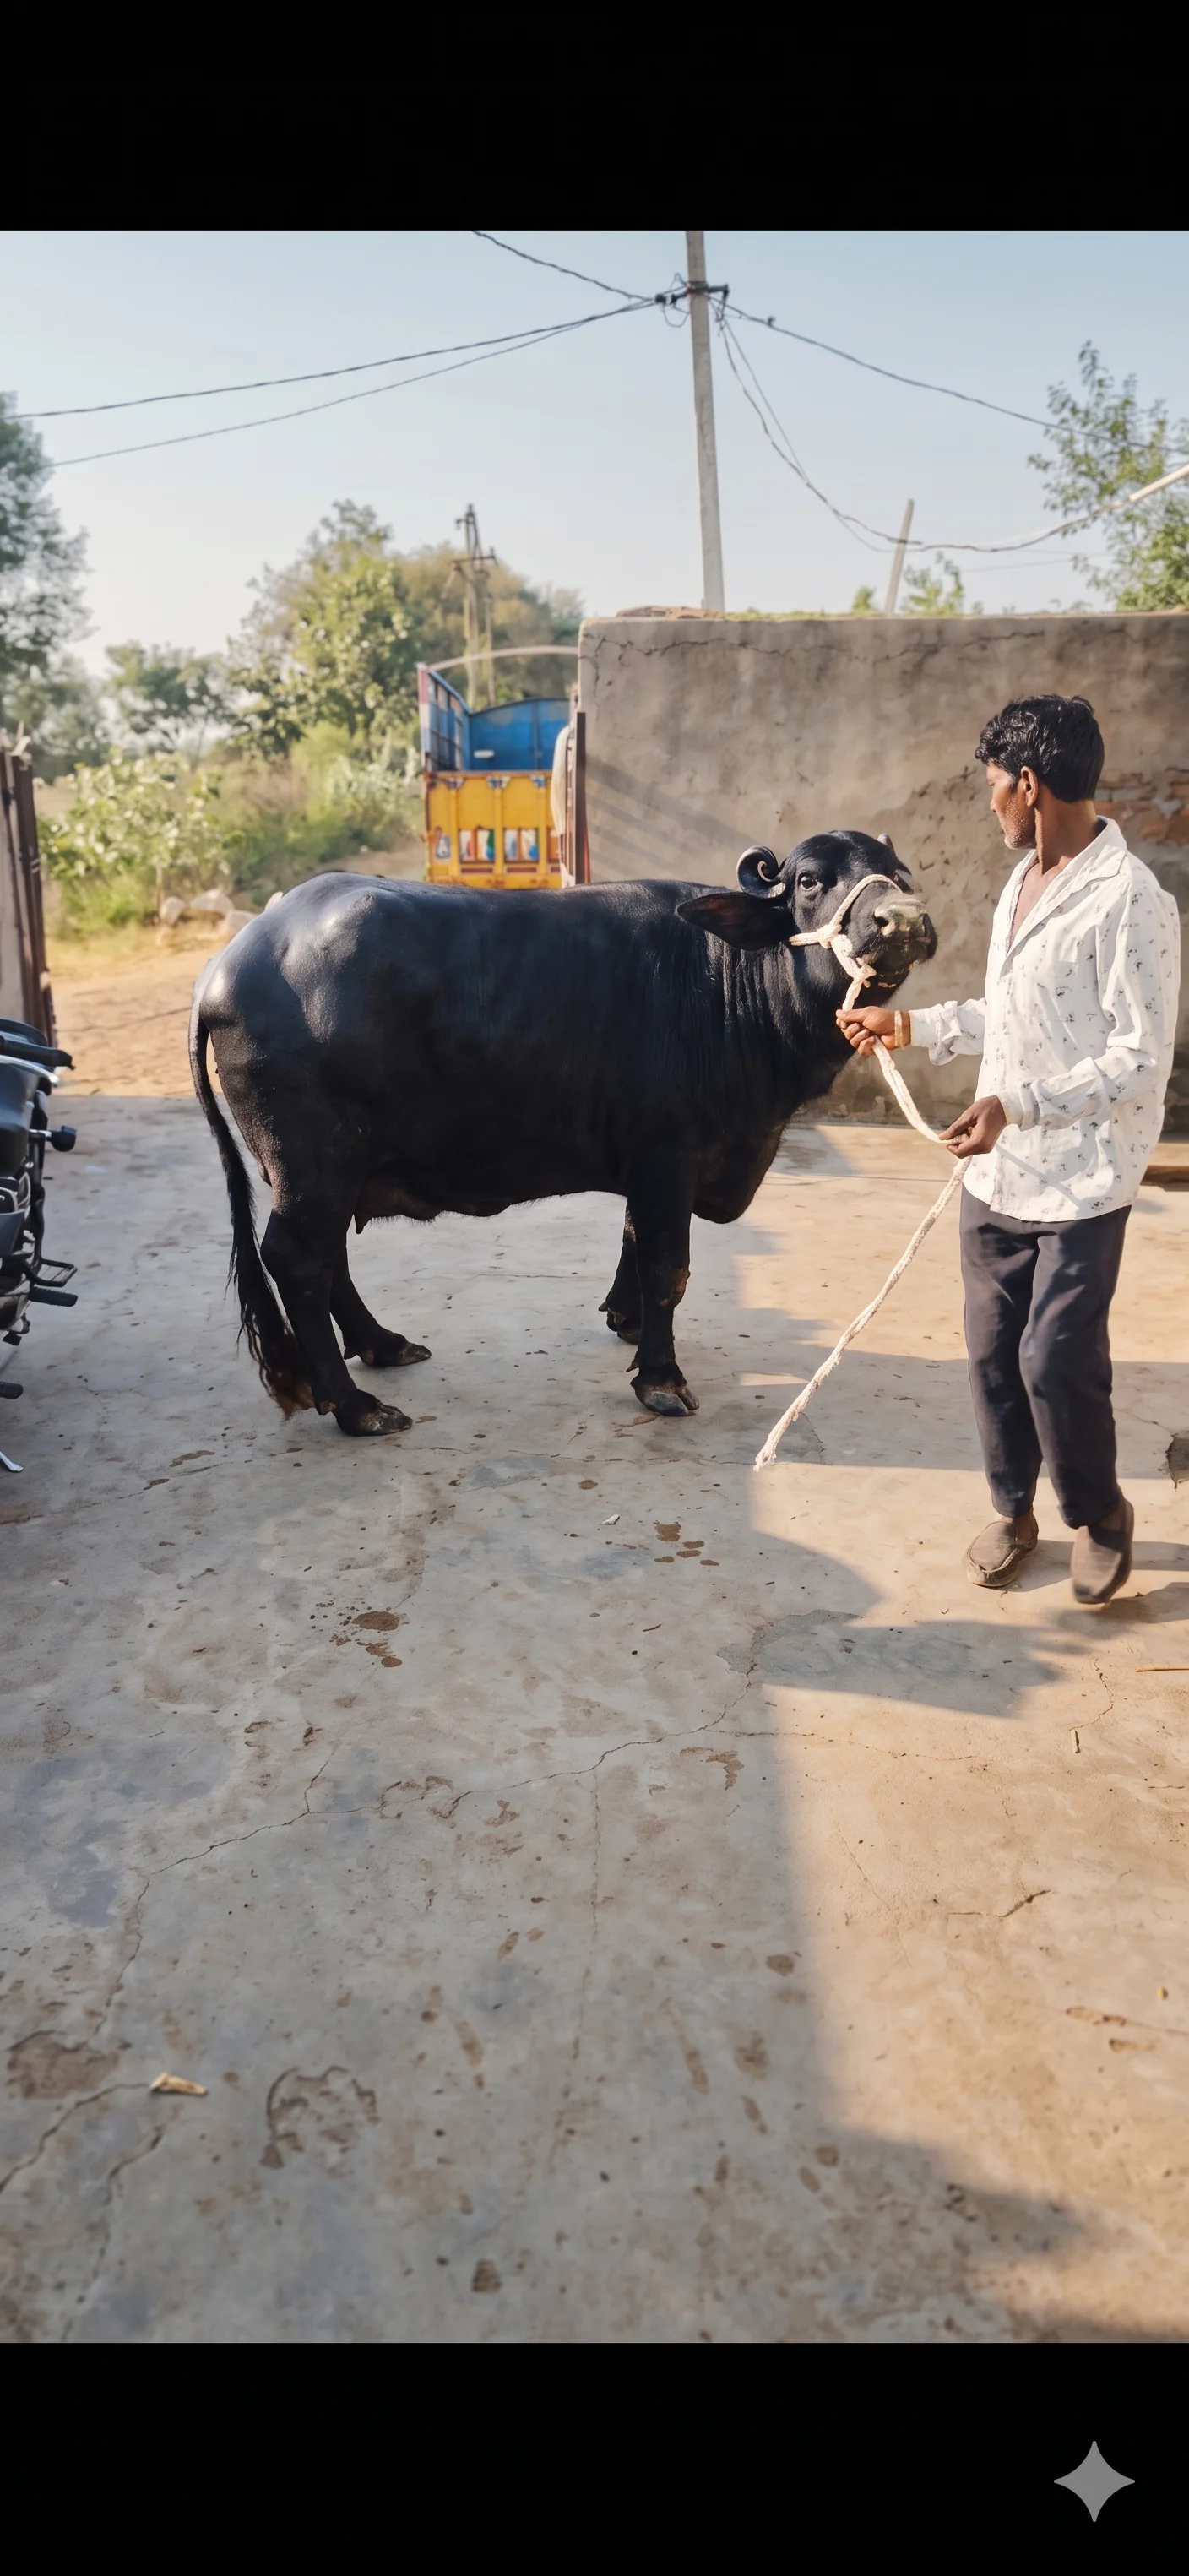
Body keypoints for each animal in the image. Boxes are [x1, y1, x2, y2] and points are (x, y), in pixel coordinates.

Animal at [190, 831, 935, 1432]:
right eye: (810, 881)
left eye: (896, 873)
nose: (901, 919)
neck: (726, 985)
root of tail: (229, 967)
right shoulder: (670, 1155)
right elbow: (669, 1265)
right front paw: (662, 1379)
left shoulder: (647, 1165)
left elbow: (634, 1239)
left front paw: (628, 1323)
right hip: (312, 1162)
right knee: (297, 1260)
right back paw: (356, 1407)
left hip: (328, 1168)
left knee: (327, 1259)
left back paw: (383, 1345)